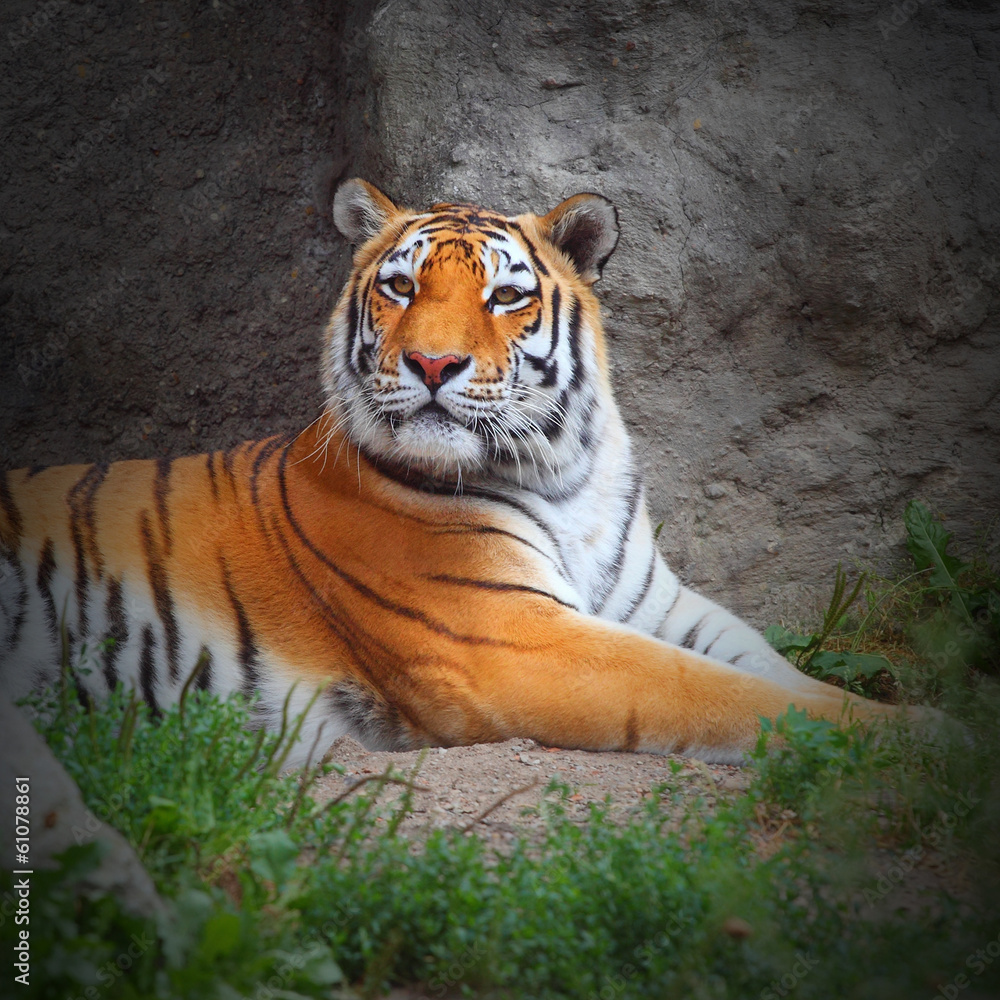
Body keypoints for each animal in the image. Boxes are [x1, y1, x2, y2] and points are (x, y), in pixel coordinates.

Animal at [0, 178, 929, 767]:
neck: (567, 474)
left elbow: (768, 667)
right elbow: (729, 695)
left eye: (505, 297)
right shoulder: (515, 640)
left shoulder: (657, 606)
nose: (433, 364)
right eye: (401, 288)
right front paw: (927, 735)